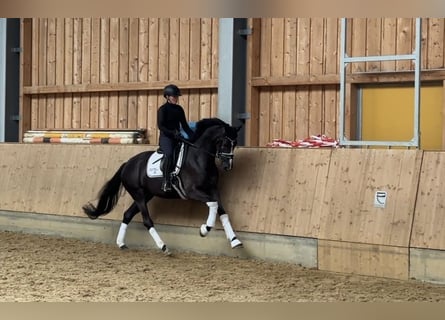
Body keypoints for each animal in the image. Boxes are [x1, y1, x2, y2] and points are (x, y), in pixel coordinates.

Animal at [82, 117, 243, 255]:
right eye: (225, 143)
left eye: (235, 144)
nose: (227, 166)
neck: (199, 158)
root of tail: (127, 164)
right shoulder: (192, 191)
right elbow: (213, 205)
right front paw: (205, 229)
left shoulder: (213, 190)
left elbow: (222, 212)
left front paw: (235, 241)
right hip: (138, 195)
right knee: (147, 221)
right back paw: (163, 247)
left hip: (146, 195)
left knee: (127, 214)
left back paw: (121, 243)